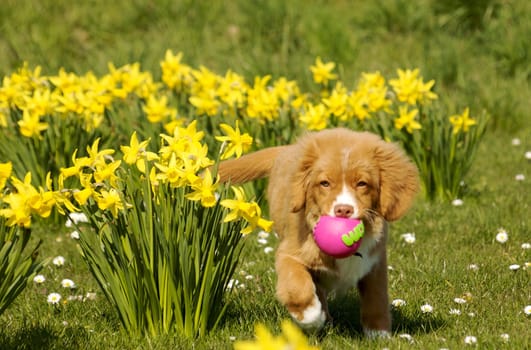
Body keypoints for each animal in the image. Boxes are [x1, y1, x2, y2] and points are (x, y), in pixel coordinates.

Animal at [217, 128, 420, 336]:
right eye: (325, 183)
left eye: (362, 183)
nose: (343, 210)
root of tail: (287, 148)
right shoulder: (289, 253)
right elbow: (297, 286)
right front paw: (310, 317)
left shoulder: (375, 261)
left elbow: (376, 296)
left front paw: (379, 333)